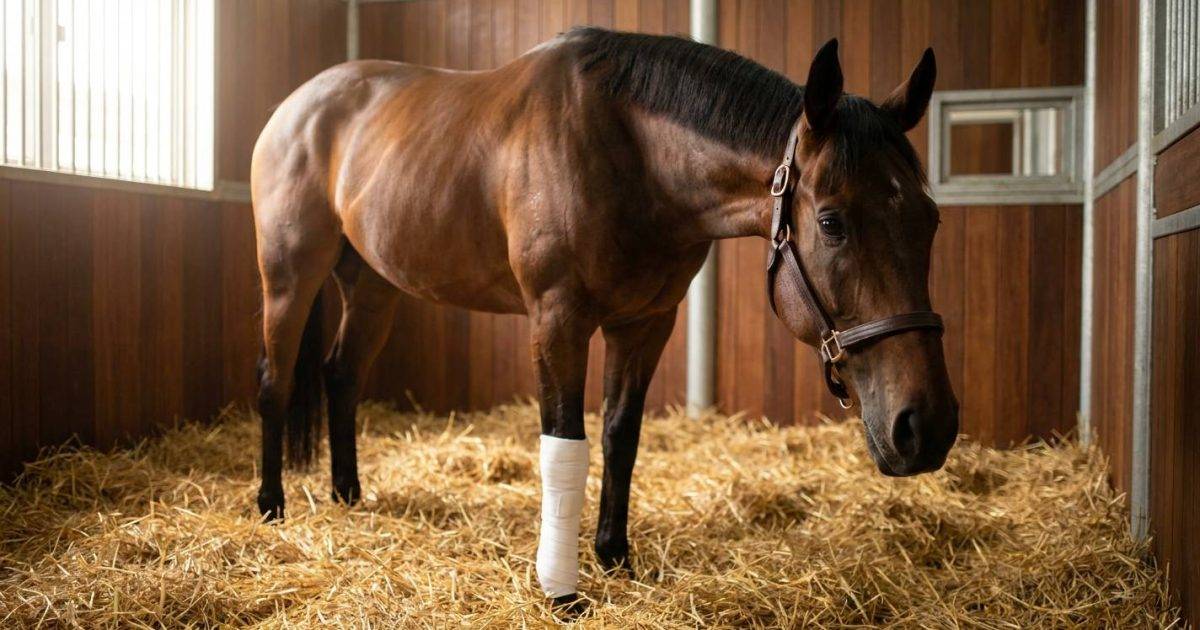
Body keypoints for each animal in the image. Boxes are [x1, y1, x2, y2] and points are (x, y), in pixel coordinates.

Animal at [250, 27, 958, 611]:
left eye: (930, 220)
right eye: (833, 222)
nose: (927, 427)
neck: (629, 153)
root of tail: (294, 107)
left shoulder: (646, 322)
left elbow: (621, 436)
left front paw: (615, 557)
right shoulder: (557, 319)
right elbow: (565, 446)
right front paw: (561, 590)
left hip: (373, 286)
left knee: (341, 374)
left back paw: (348, 495)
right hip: (289, 277)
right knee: (275, 382)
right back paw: (271, 505)